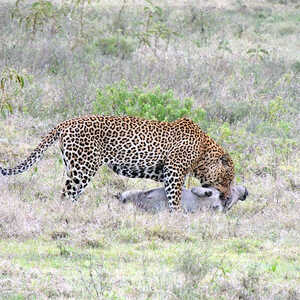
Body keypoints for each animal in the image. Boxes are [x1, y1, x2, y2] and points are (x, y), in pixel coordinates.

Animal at [0, 115, 234, 211]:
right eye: (229, 178)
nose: (228, 195)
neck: (203, 151)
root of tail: (66, 122)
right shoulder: (174, 172)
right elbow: (175, 198)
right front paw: (177, 216)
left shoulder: (169, 175)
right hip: (84, 168)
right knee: (66, 194)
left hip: (72, 166)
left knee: (69, 193)